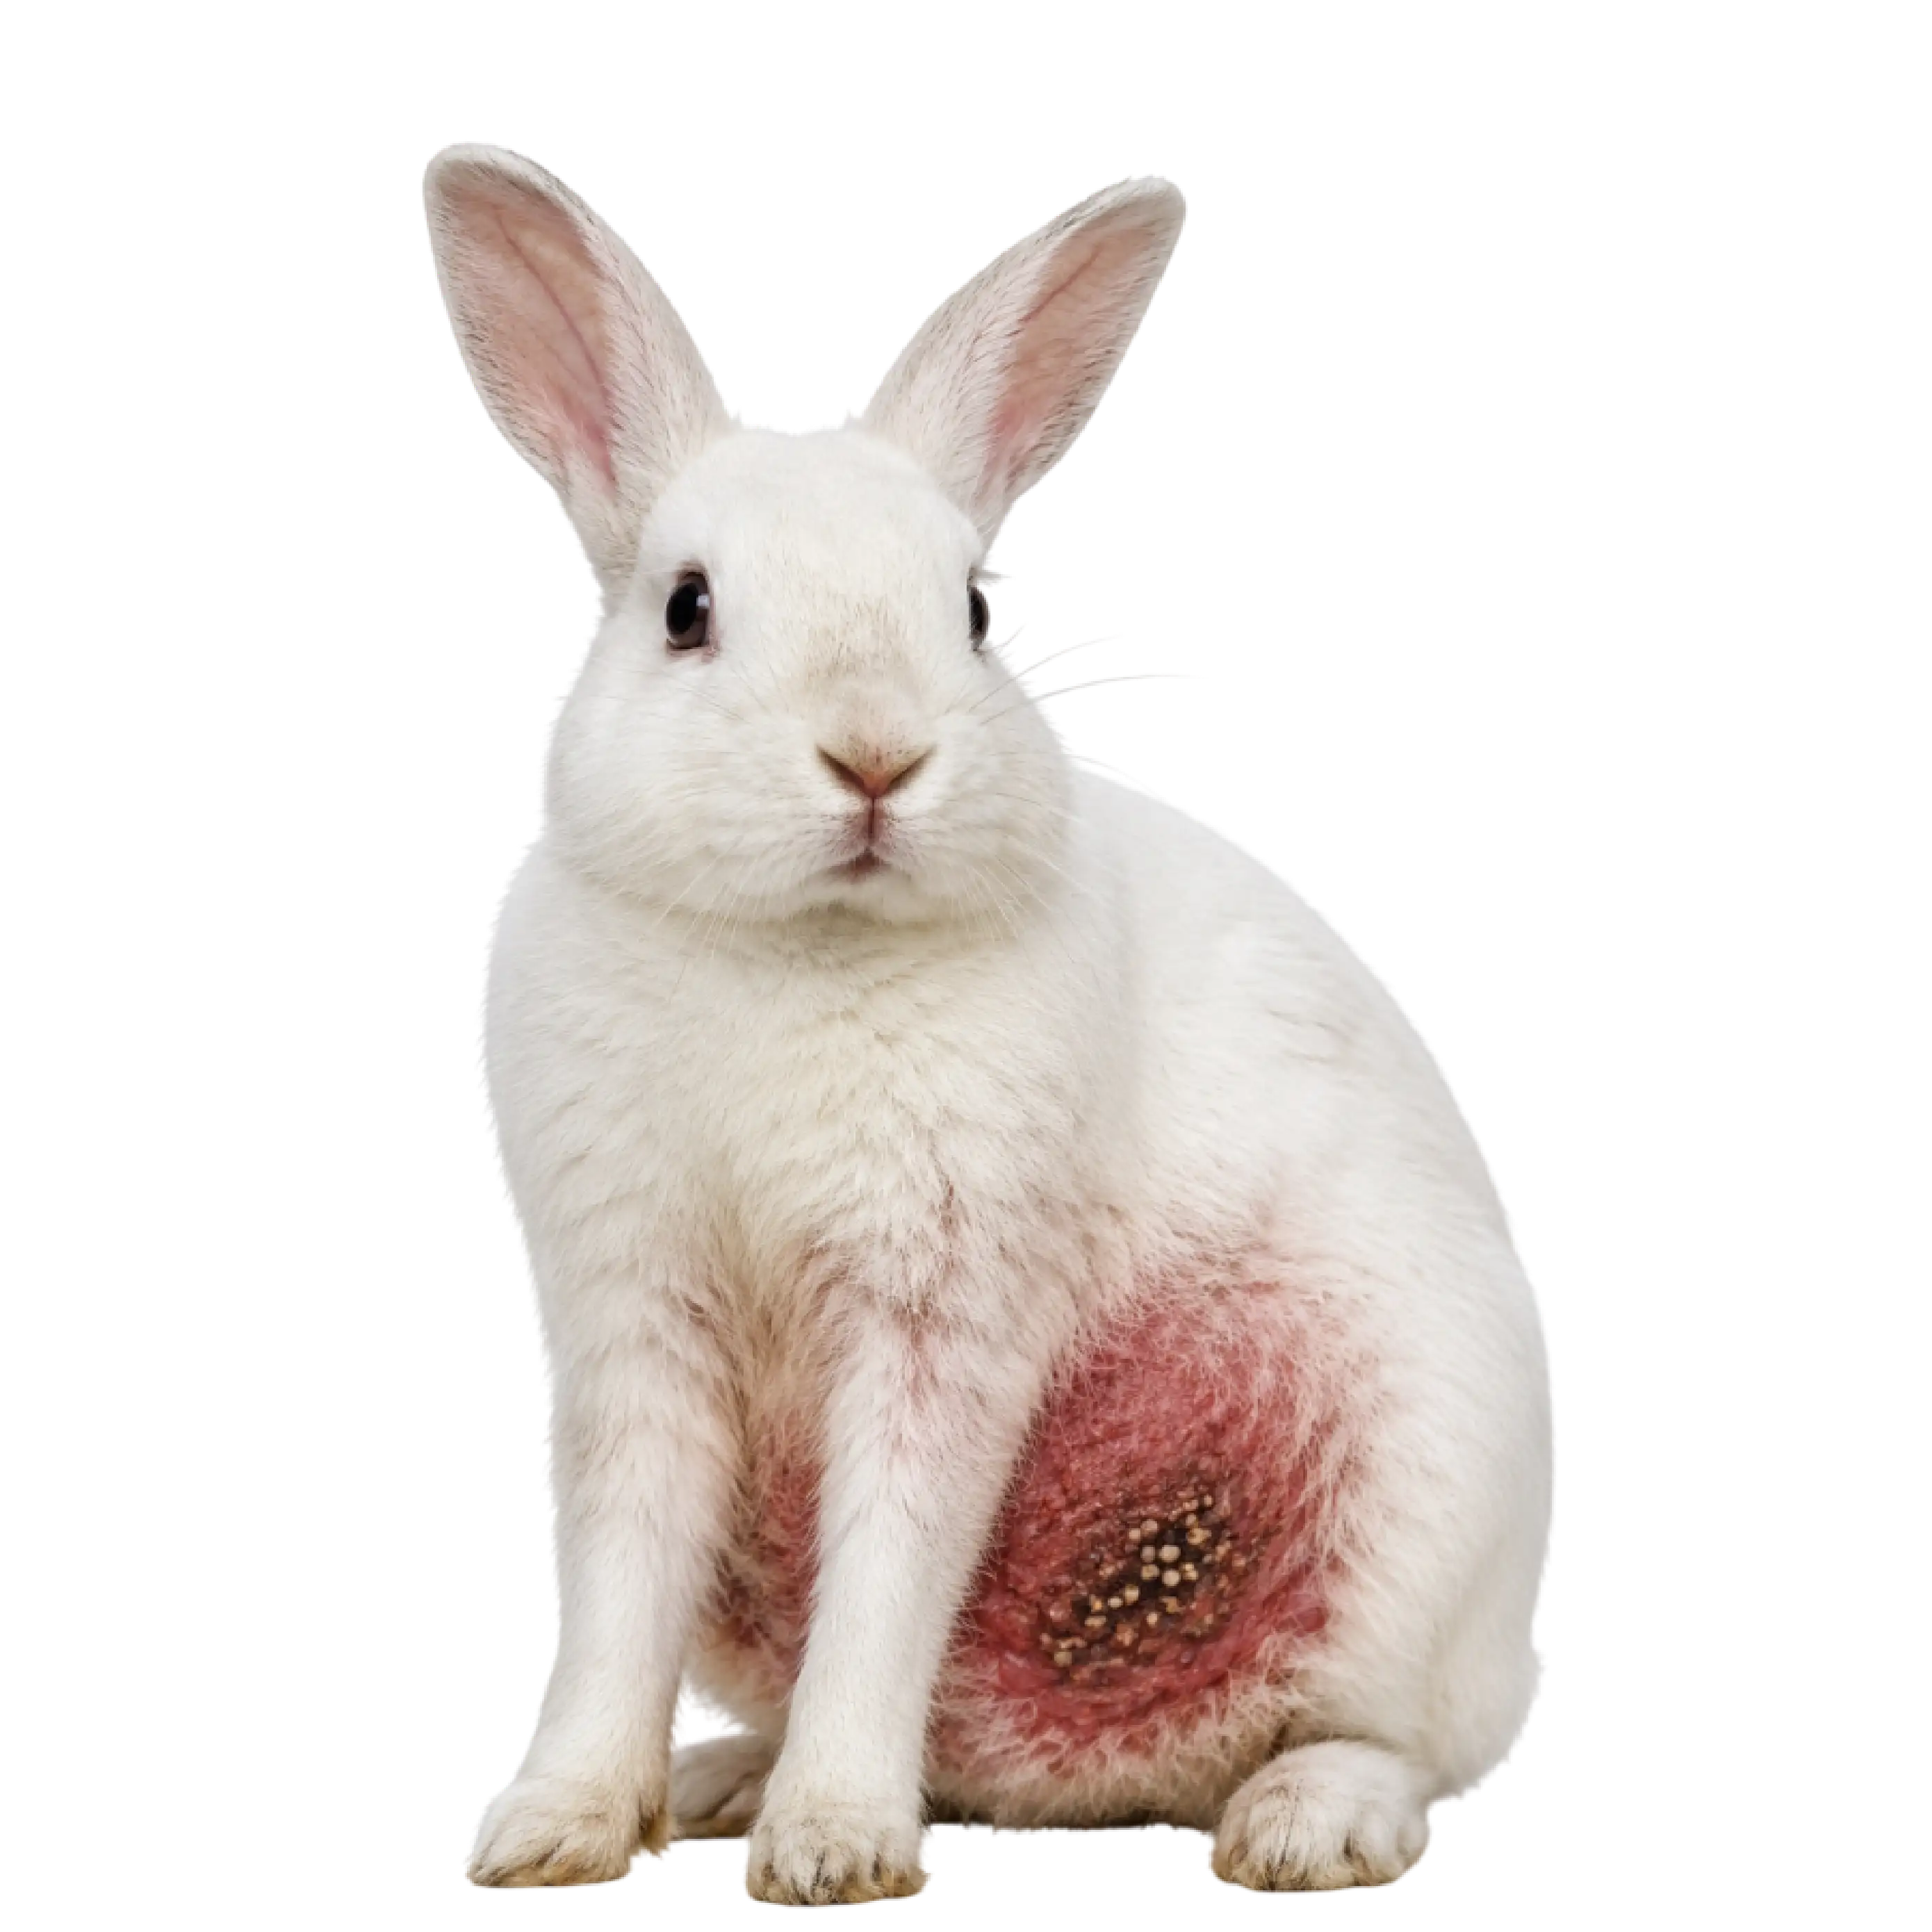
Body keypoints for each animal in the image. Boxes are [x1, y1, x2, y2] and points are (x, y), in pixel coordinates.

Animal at [423, 140, 1554, 1902]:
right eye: (684, 608)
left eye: (970, 608)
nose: (876, 756)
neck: (795, 954)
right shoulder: (629, 1319)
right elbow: (614, 1587)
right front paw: (555, 1827)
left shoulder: (939, 1312)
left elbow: (892, 1576)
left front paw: (833, 1849)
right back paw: (724, 1777)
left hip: (1415, 1529)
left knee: (1402, 1744)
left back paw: (1304, 1828)